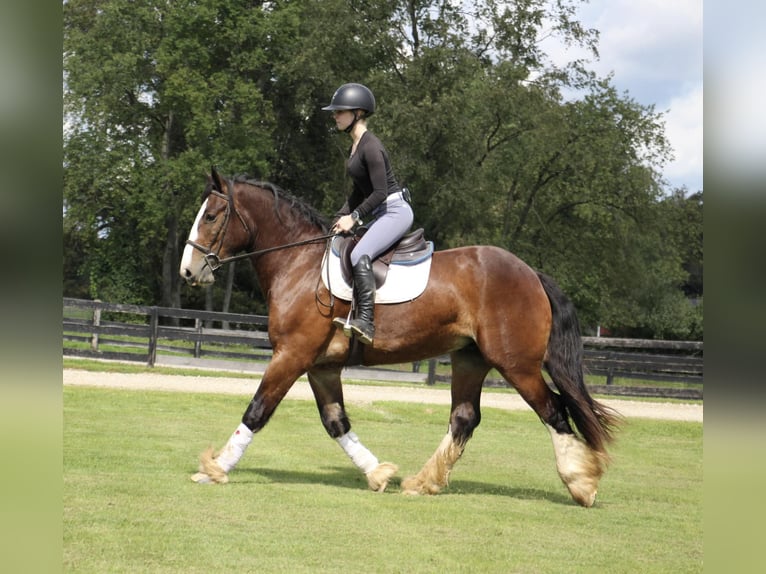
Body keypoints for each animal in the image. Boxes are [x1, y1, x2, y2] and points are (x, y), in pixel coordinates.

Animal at [182, 168, 624, 508]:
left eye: (212, 216)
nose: (189, 272)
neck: (300, 264)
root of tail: (531, 273)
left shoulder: (291, 355)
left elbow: (256, 411)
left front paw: (215, 468)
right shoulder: (321, 367)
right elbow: (336, 422)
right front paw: (378, 473)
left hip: (517, 364)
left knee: (554, 411)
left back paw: (581, 485)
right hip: (470, 358)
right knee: (465, 418)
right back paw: (423, 482)